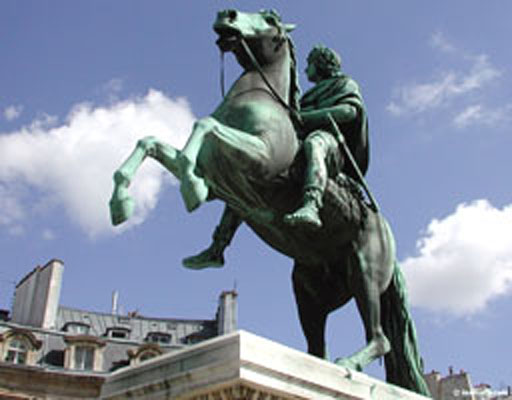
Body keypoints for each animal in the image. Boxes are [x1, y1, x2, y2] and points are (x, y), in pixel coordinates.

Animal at [110, 9, 430, 396]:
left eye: (270, 18)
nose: (226, 14)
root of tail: (387, 237)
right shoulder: (218, 175)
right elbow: (151, 141)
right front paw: (120, 202)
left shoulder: (260, 159)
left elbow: (204, 125)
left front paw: (189, 186)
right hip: (307, 291)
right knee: (318, 346)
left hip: (365, 270)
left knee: (379, 337)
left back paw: (349, 364)